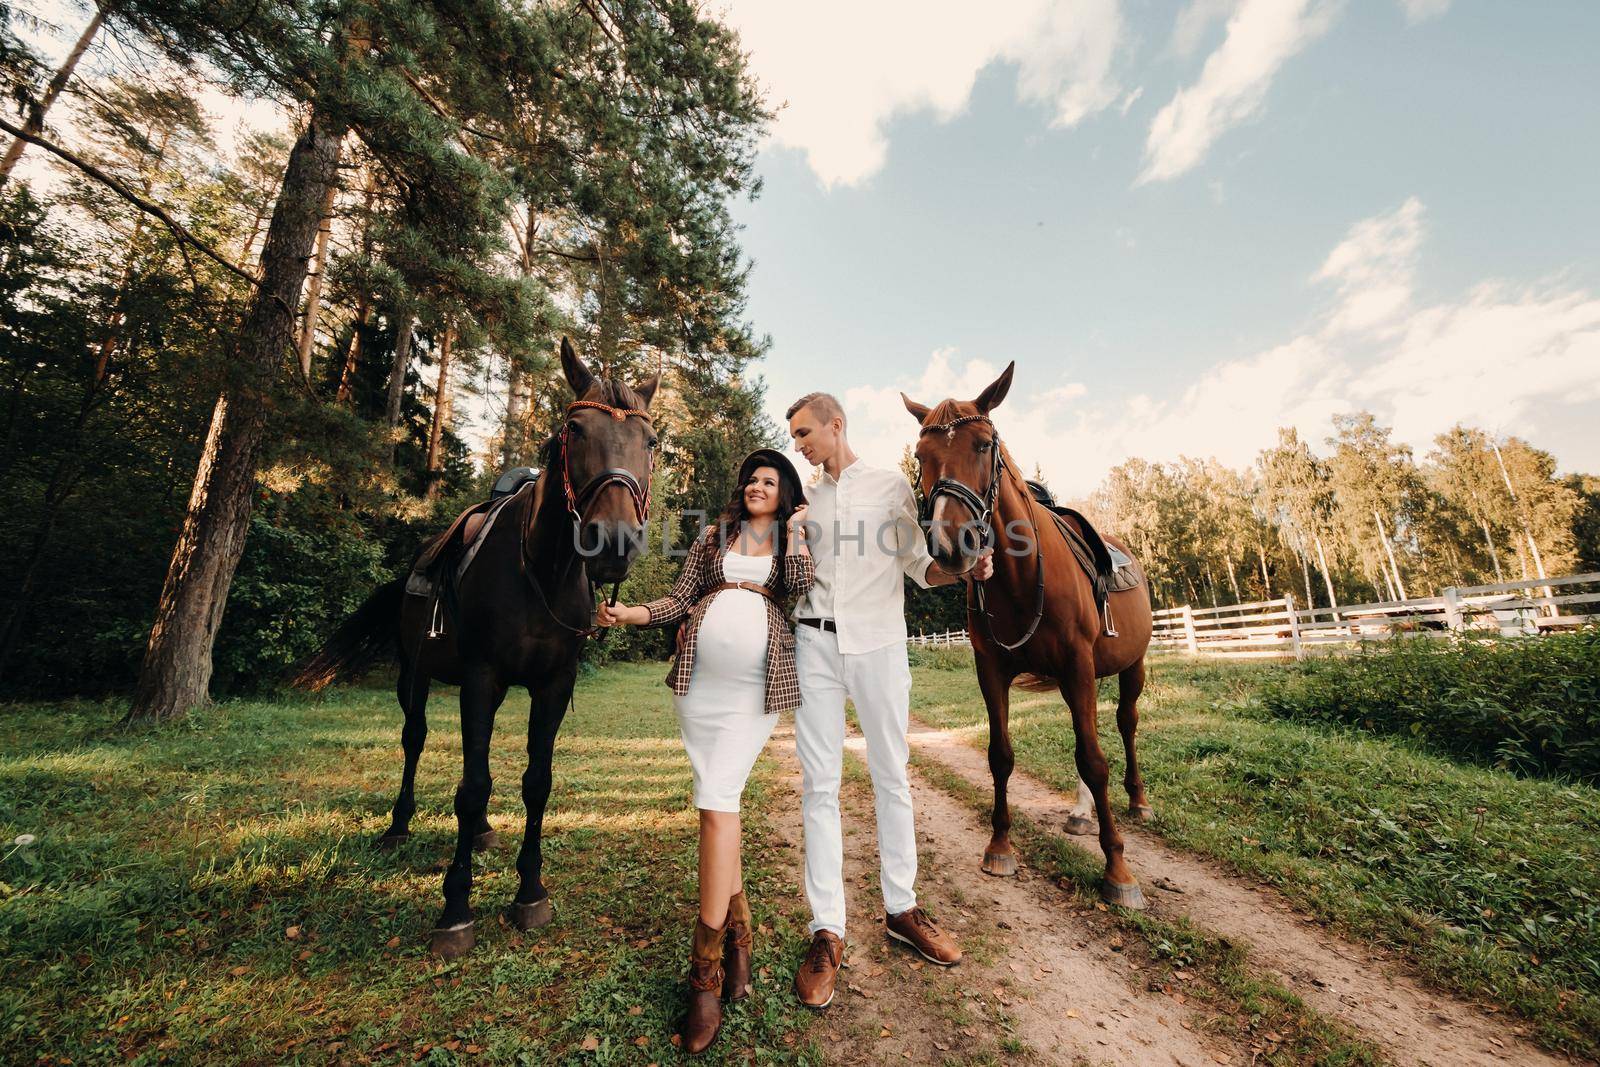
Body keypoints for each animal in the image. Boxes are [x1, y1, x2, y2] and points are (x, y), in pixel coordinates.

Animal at [291, 337, 659, 953]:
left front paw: (529, 890)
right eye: (575, 430)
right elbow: (473, 785)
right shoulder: (481, 678)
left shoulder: (552, 686)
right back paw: (398, 824)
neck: (543, 570)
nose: (613, 542)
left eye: (650, 442)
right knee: (414, 741)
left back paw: (482, 832)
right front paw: (456, 907)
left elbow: (536, 783)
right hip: (413, 675)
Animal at [902, 363, 1152, 908]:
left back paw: (1139, 801)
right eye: (920, 457)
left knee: (1124, 724)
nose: (952, 545)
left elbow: (1094, 760)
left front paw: (1118, 869)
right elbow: (1001, 756)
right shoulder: (993, 669)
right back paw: (1080, 814)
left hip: (1131, 666)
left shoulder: (1078, 665)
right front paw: (1000, 846)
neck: (1020, 576)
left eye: (983, 444)